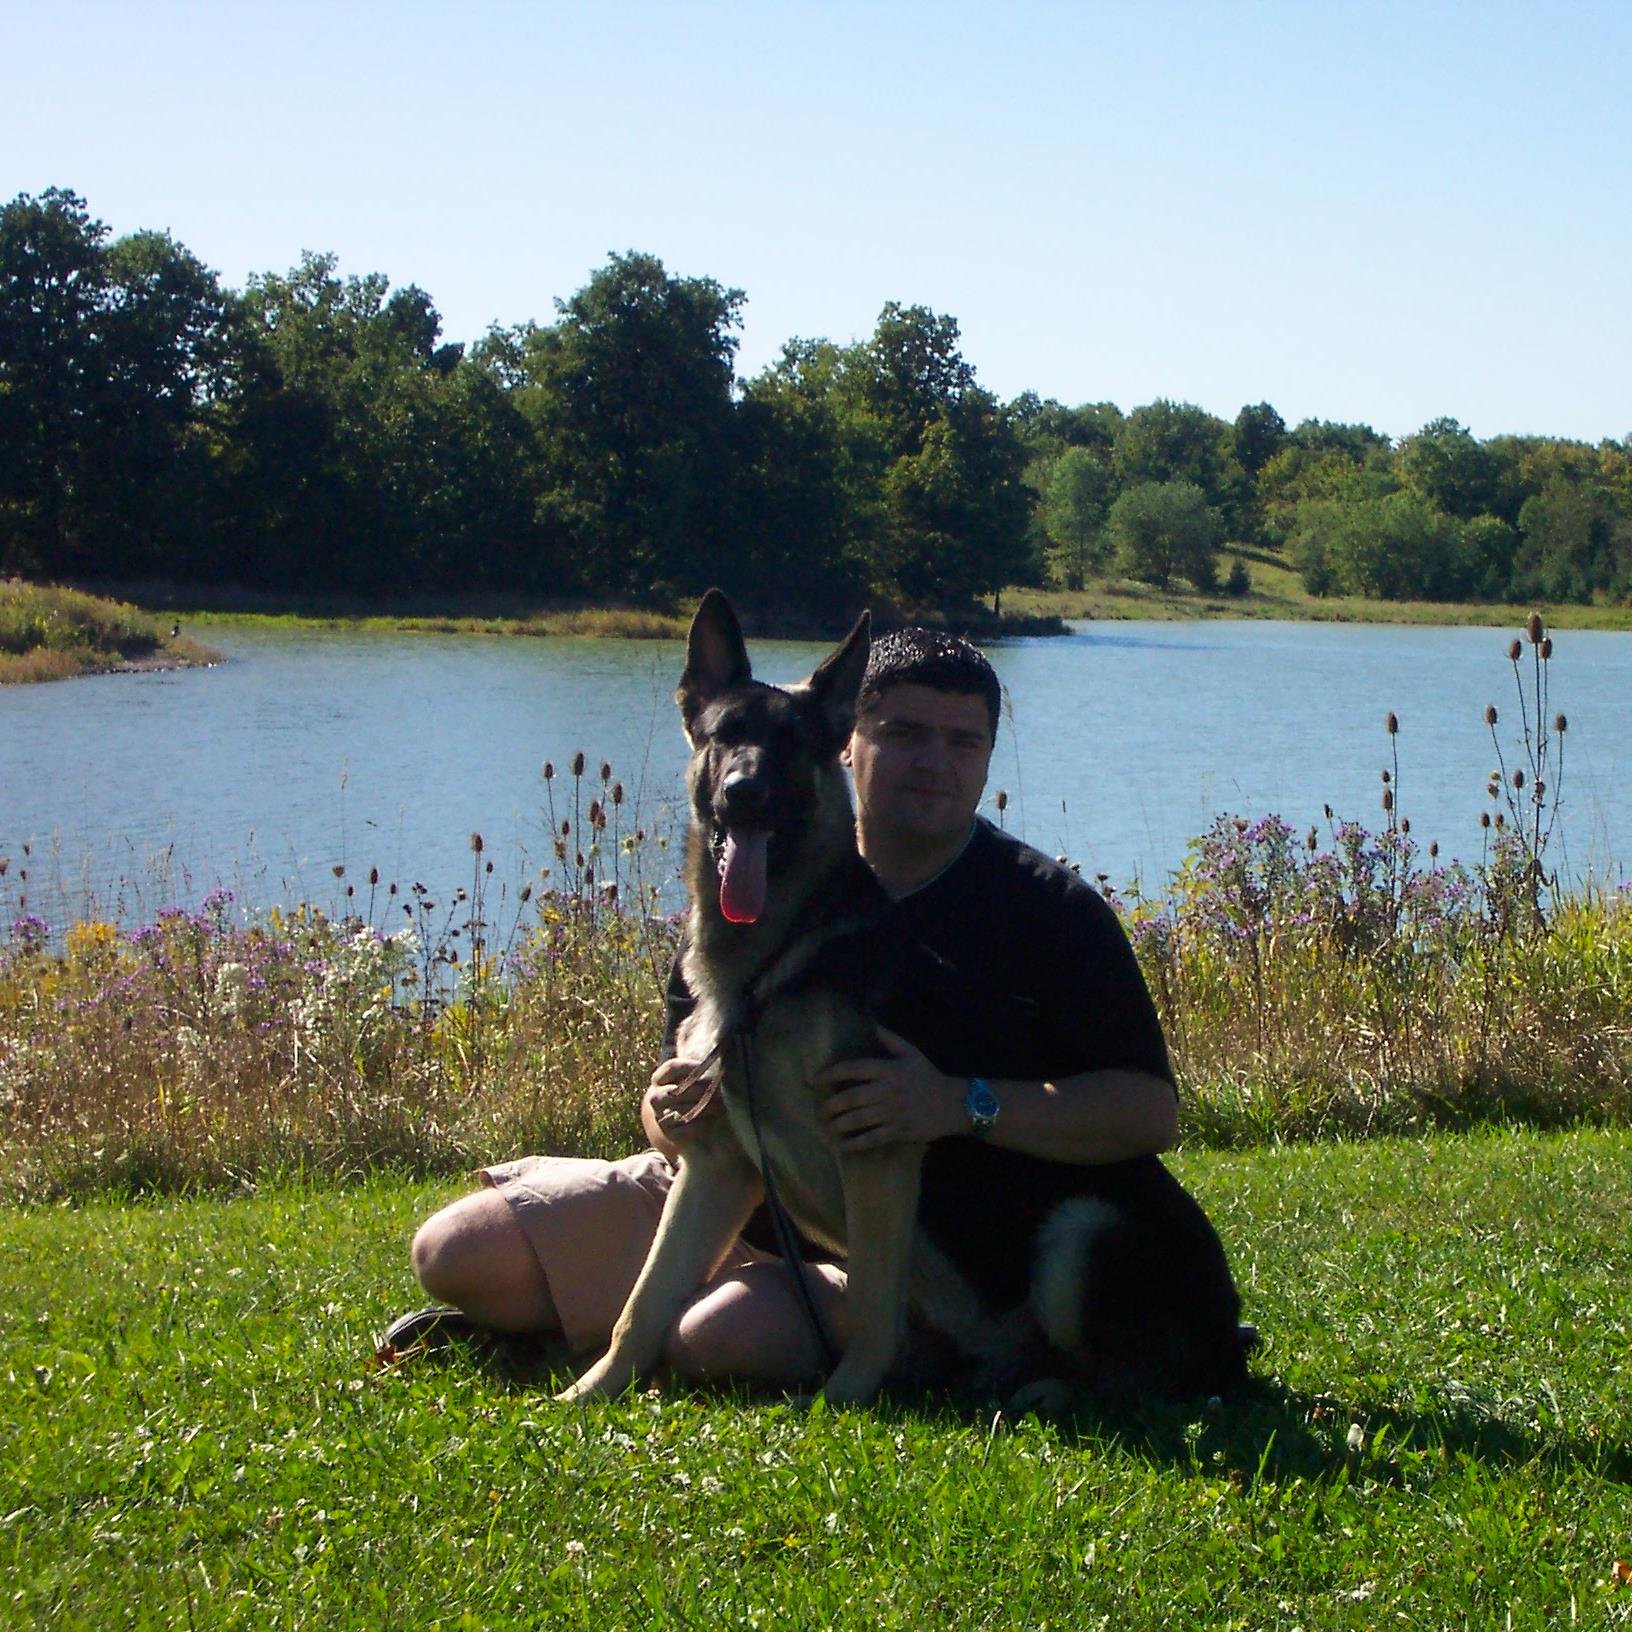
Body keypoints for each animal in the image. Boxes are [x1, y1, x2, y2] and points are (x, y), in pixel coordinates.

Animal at [554, 594, 1240, 1410]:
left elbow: (870, 1304)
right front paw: (588, 1391)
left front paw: (843, 1400)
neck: (778, 959)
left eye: (794, 746)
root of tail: (1234, 1337)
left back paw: (1045, 1393)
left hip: (1081, 1230)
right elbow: (644, 1301)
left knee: (1141, 1385)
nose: (745, 794)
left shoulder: (876, 1149)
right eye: (727, 737)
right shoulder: (717, 1166)